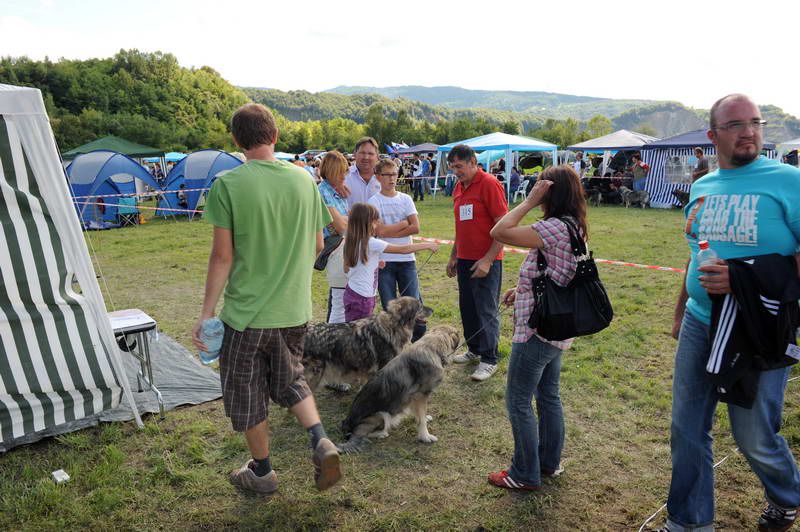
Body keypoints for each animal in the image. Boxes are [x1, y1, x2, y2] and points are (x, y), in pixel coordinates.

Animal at [340, 324, 462, 454]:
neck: (432, 349)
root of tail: (346, 423)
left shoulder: (414, 398)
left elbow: (420, 414)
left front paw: (424, 418)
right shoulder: (420, 395)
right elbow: (421, 420)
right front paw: (425, 436)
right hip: (381, 415)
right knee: (361, 434)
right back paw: (382, 434)